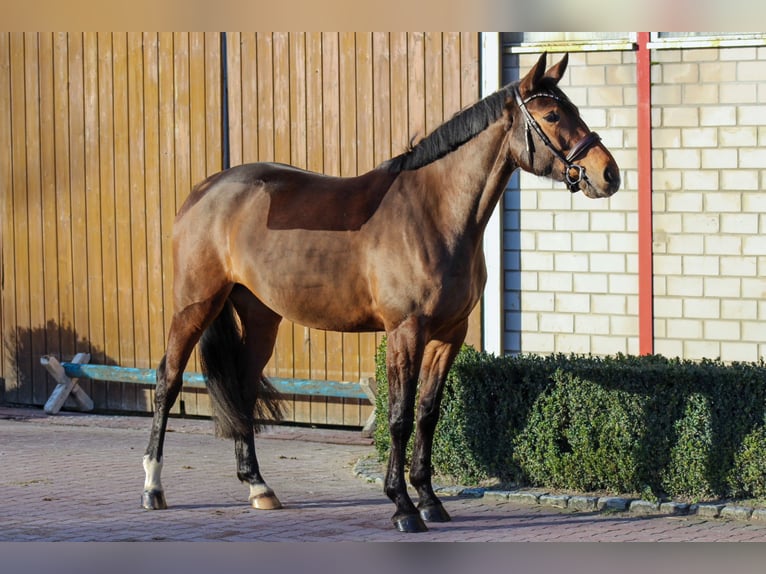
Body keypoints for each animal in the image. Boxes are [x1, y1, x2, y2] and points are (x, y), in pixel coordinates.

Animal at [142, 54, 624, 536]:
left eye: (574, 108)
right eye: (552, 115)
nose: (608, 174)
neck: (434, 214)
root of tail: (205, 191)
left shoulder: (448, 335)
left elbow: (428, 414)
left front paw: (429, 500)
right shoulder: (404, 332)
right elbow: (399, 416)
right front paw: (403, 506)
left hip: (262, 317)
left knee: (242, 387)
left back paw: (258, 486)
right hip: (195, 305)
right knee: (168, 380)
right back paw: (153, 487)